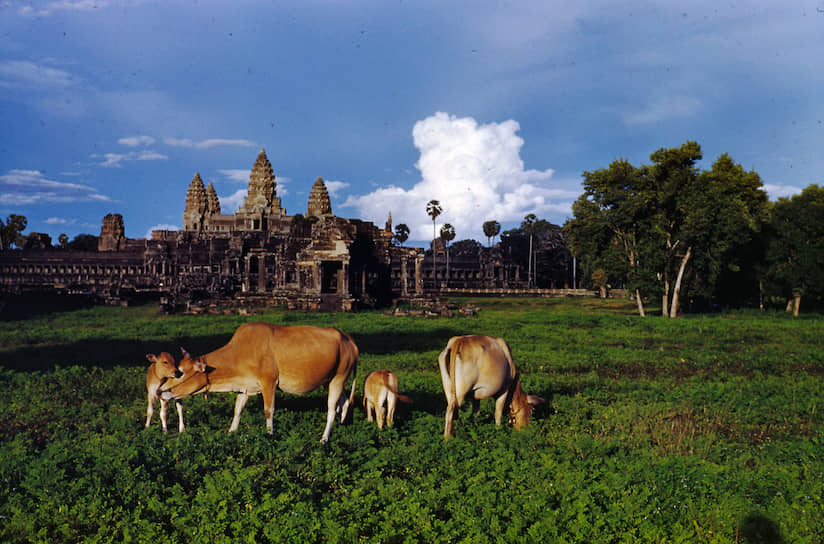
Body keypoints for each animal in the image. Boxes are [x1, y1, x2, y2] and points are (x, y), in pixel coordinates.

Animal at [159, 324, 356, 442]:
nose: (160, 391)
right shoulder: (244, 388)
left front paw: (269, 434)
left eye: (180, 372)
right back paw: (343, 422)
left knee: (331, 409)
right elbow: (237, 410)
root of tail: (347, 337)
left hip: (339, 378)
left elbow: (268, 410)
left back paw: (324, 438)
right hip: (332, 380)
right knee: (344, 402)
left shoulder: (269, 383)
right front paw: (231, 432)